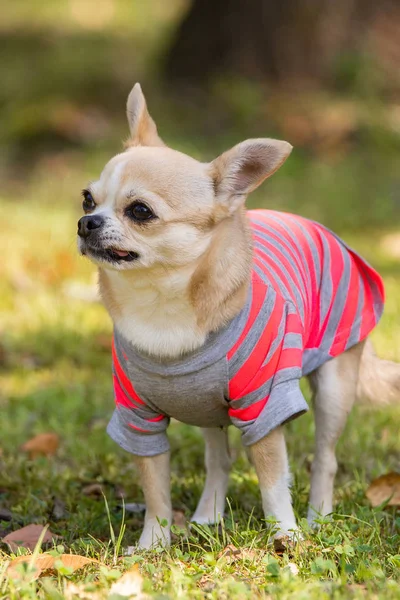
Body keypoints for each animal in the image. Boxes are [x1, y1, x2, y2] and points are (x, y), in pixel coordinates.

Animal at [78, 83, 400, 548]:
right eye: (87, 199)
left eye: (140, 211)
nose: (86, 222)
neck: (162, 303)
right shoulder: (139, 419)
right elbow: (155, 487)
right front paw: (153, 543)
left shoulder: (264, 409)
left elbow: (272, 482)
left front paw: (285, 536)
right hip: (205, 407)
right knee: (220, 459)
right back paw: (208, 515)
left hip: (335, 386)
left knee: (325, 457)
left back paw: (318, 517)